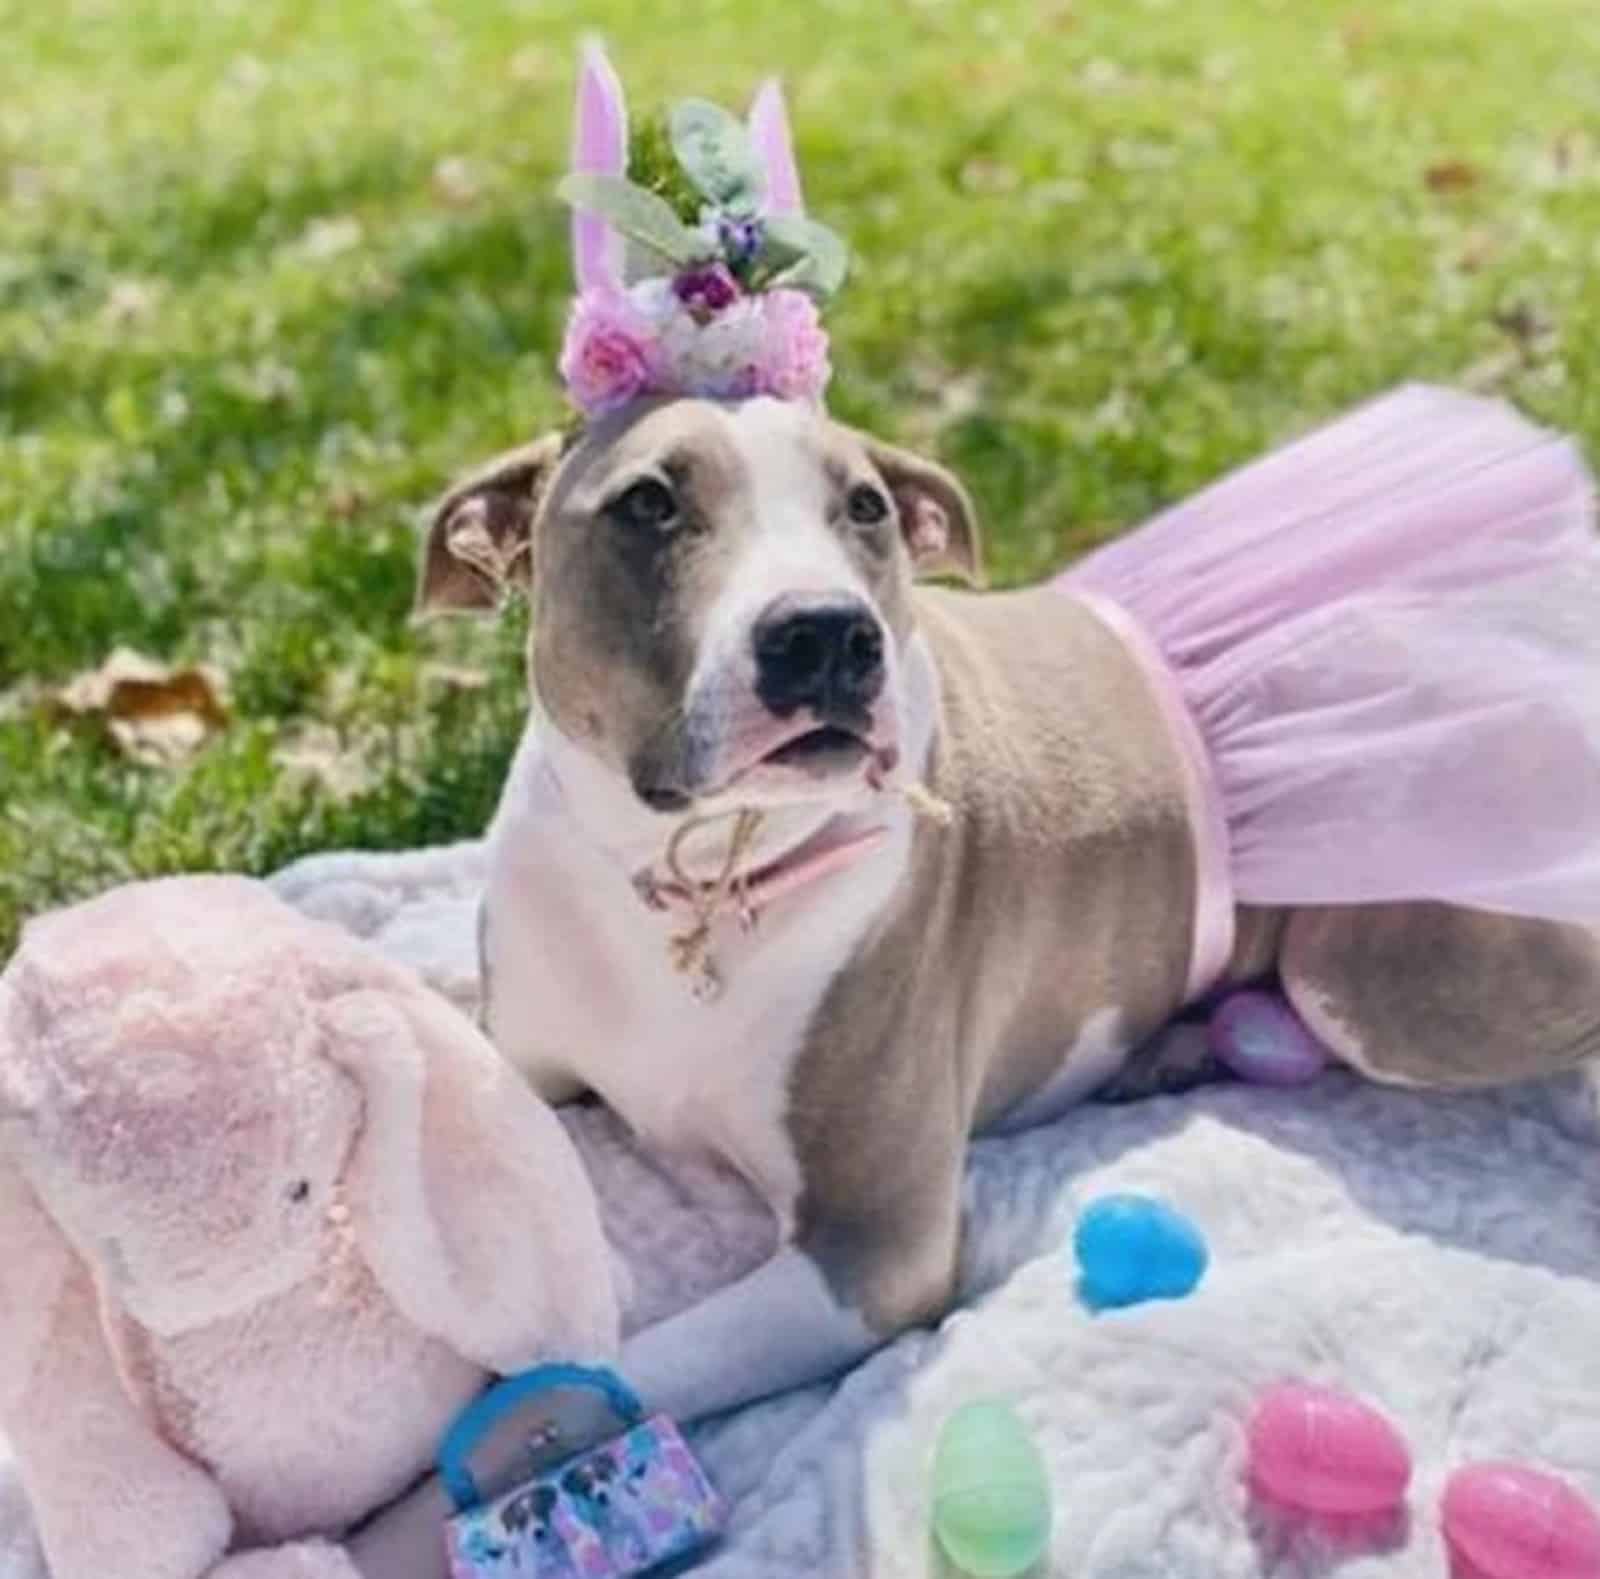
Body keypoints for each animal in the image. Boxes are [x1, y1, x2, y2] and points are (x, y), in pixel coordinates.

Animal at [412, 385, 1600, 1433]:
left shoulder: (875, 1249)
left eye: (868, 508)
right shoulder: (515, 1055)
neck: (692, 876)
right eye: (649, 503)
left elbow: (578, 1380)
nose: (827, 633)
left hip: (1379, 979)